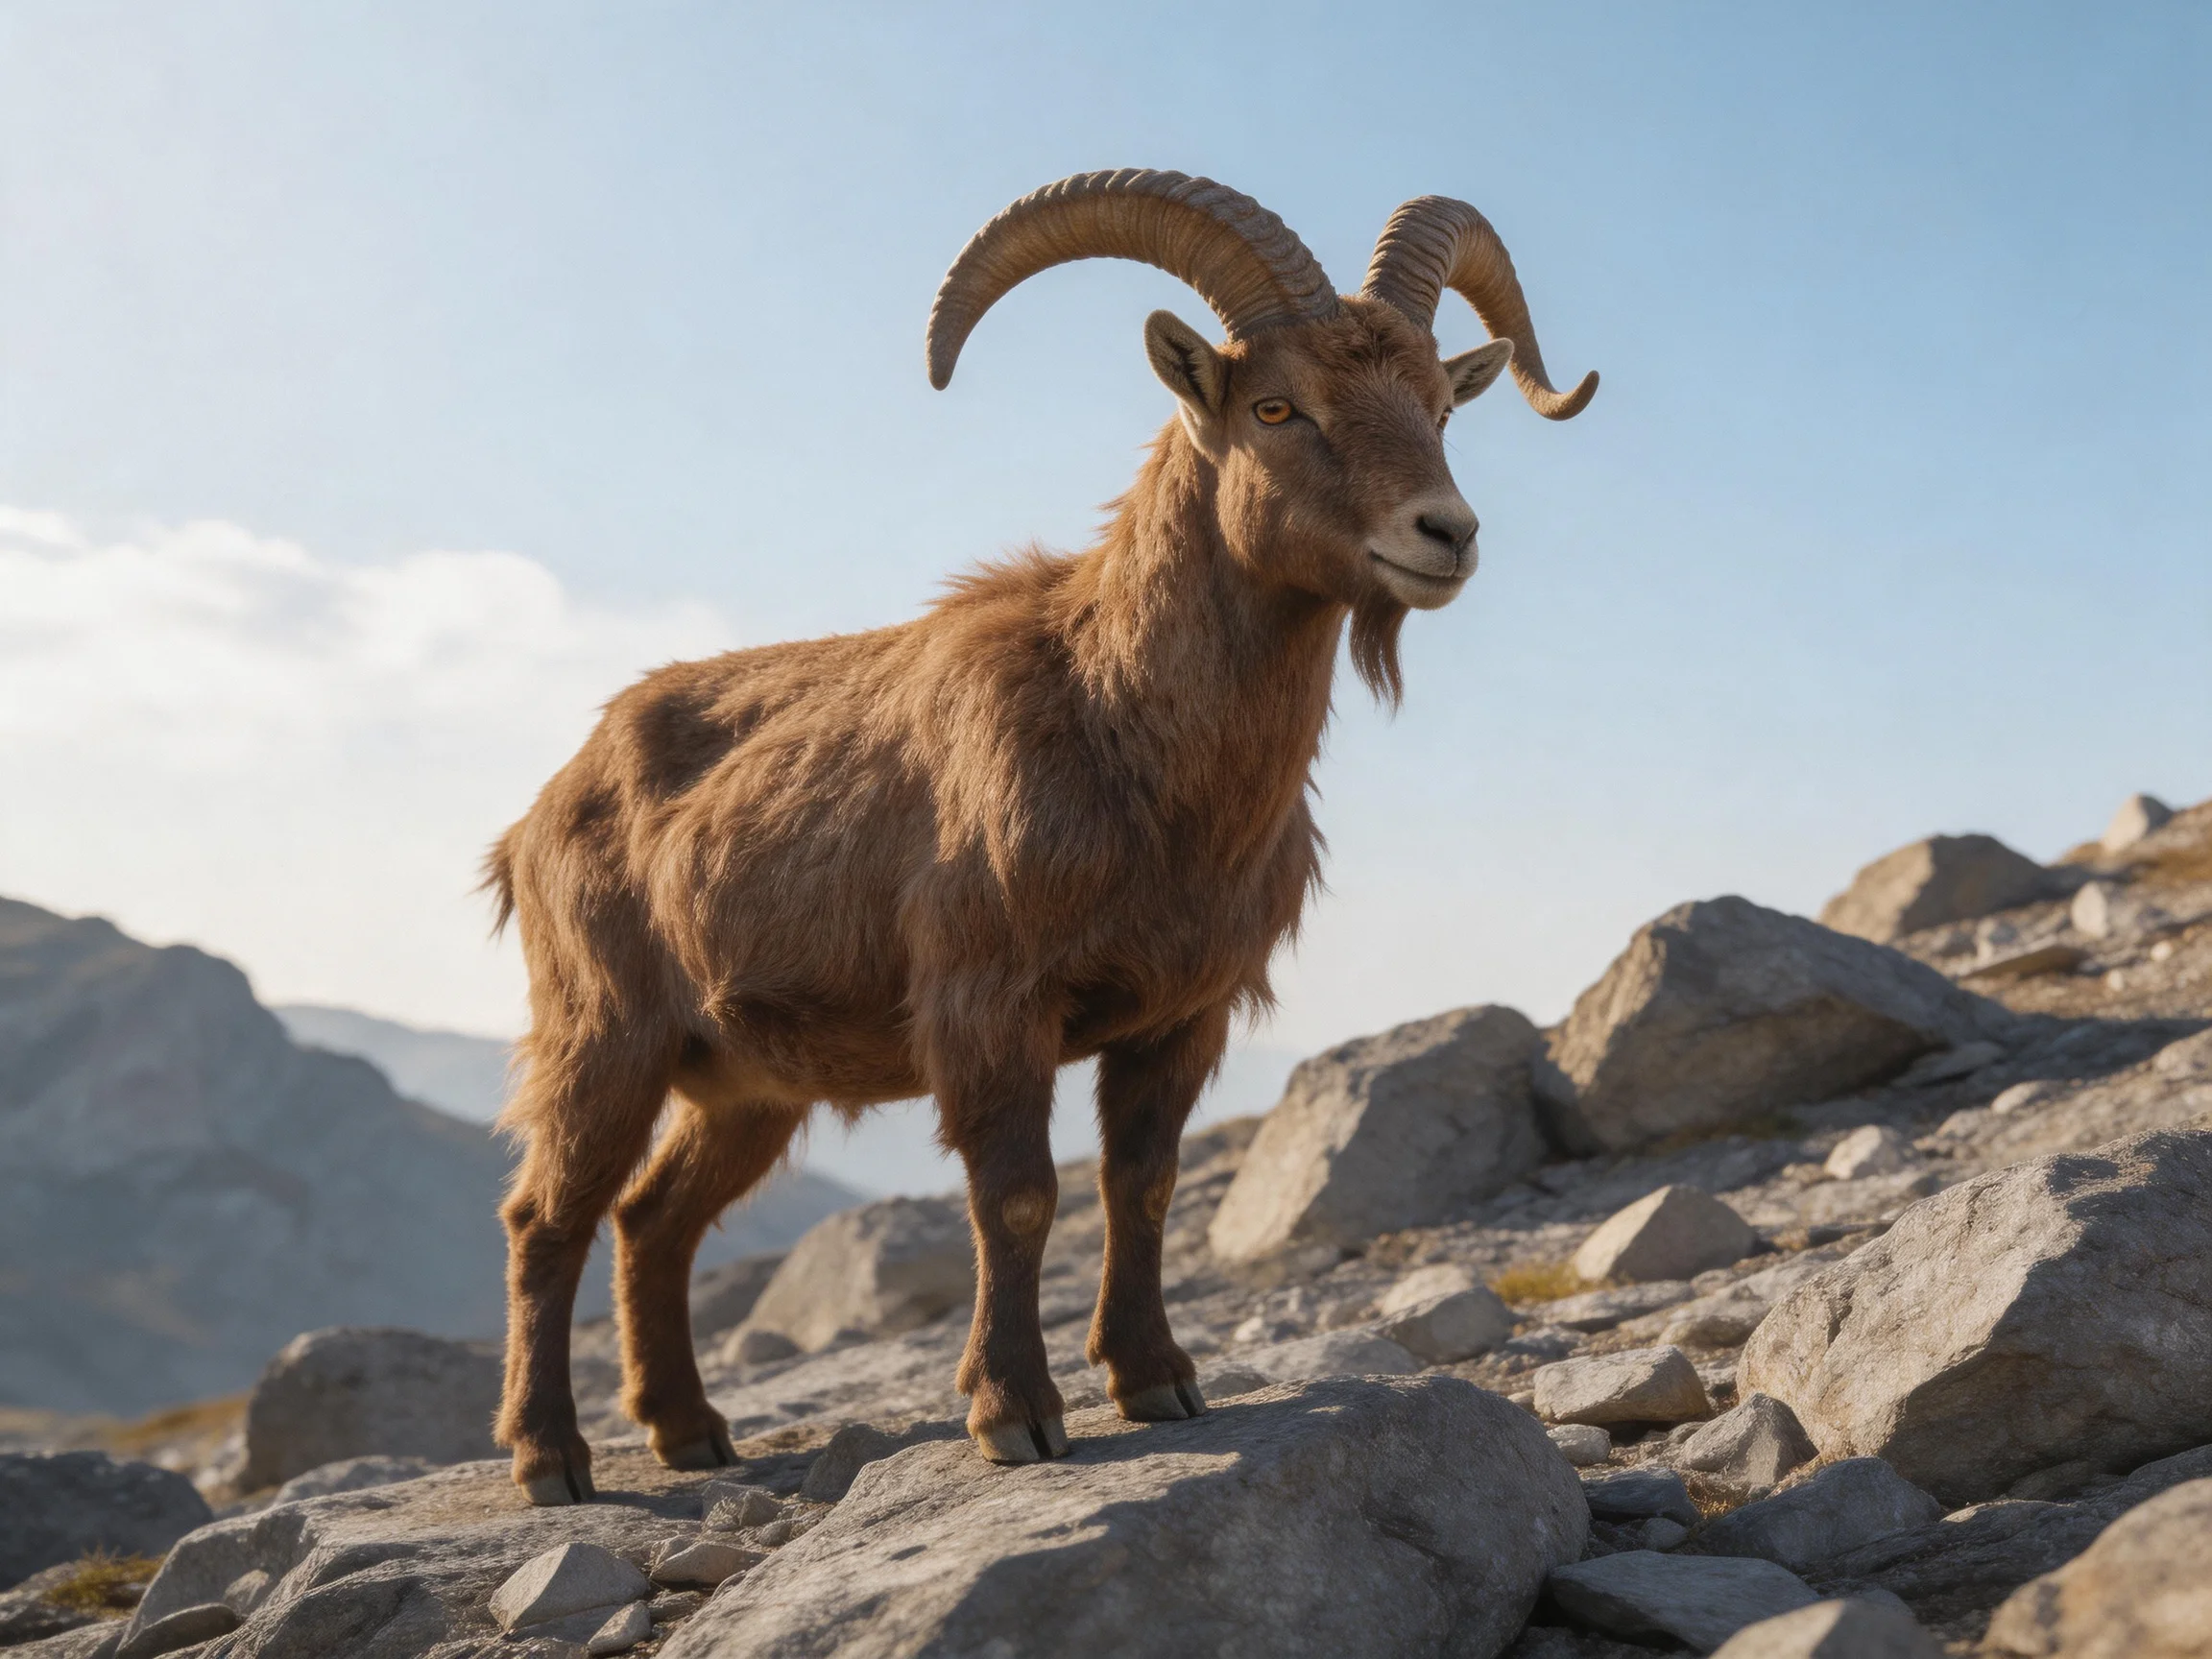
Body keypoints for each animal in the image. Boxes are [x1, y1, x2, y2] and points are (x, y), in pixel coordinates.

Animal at [486, 169, 1595, 1502]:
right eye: (1277, 405)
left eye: (1439, 405)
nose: (1445, 533)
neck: (1120, 726)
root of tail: (542, 809)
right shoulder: (989, 1002)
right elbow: (1018, 1197)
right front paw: (1014, 1412)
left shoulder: (1182, 1013)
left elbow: (1143, 1185)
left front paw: (1158, 1381)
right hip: (605, 1034)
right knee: (548, 1216)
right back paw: (550, 1458)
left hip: (747, 1080)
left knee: (655, 1216)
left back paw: (689, 1430)